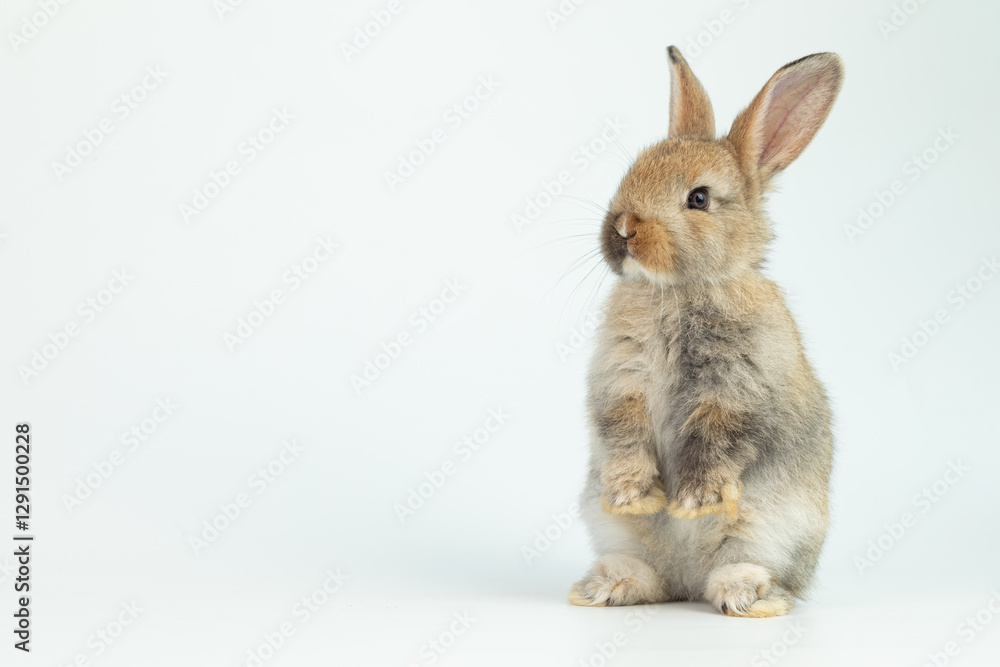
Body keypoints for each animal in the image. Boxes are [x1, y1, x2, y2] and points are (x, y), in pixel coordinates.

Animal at [569, 46, 843, 618]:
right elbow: (623, 434)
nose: (624, 228)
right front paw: (633, 495)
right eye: (632, 171)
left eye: (699, 199)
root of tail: (688, 581)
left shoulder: (735, 388)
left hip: (773, 531)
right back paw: (605, 587)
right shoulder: (620, 380)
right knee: (651, 576)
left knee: (744, 570)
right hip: (617, 533)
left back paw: (745, 596)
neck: (678, 289)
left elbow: (715, 443)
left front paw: (693, 503)